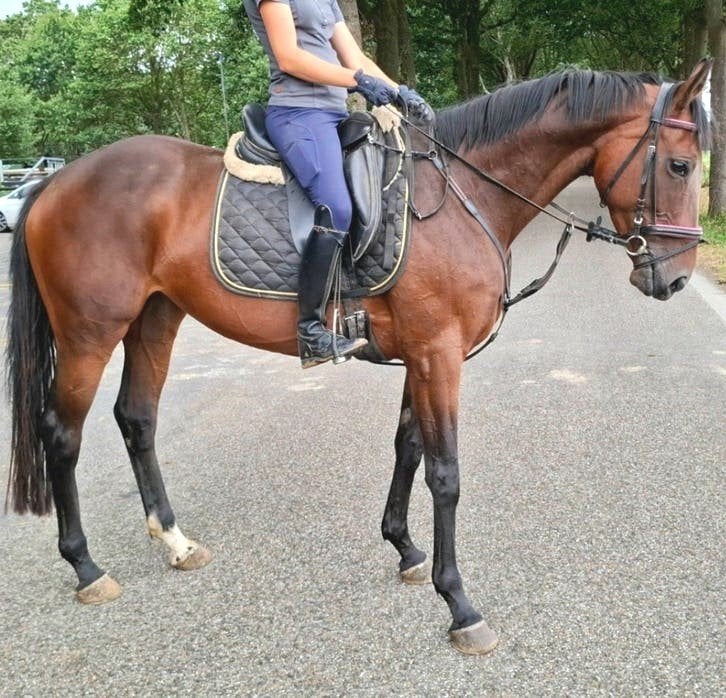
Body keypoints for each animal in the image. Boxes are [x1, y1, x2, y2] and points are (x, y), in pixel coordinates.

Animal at [5, 62, 710, 655]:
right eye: (680, 167)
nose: (676, 278)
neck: (462, 197)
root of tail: (56, 179)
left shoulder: (424, 354)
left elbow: (409, 449)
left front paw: (405, 550)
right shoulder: (438, 353)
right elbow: (445, 473)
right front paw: (460, 605)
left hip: (155, 318)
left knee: (138, 419)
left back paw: (175, 541)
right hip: (90, 332)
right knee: (61, 434)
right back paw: (86, 566)